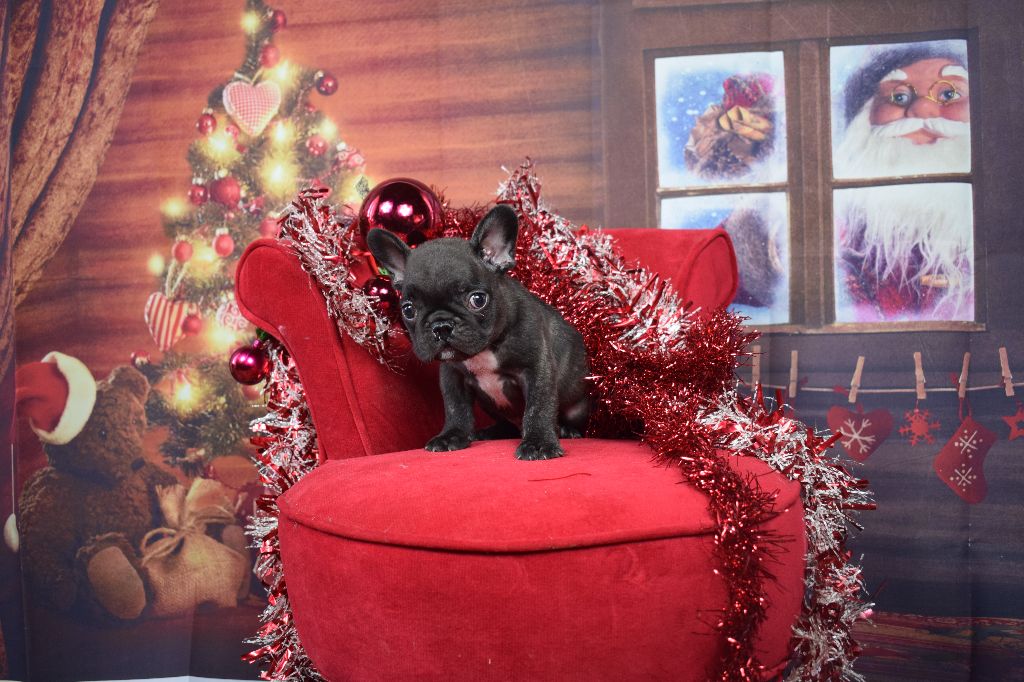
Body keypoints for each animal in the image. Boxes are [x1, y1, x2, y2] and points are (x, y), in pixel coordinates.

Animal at [367, 204, 590, 460]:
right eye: (408, 309)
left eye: (478, 300)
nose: (441, 325)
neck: (484, 350)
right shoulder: (453, 377)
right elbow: (456, 408)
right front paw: (452, 435)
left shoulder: (536, 369)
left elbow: (539, 406)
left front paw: (539, 443)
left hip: (577, 406)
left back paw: (566, 430)